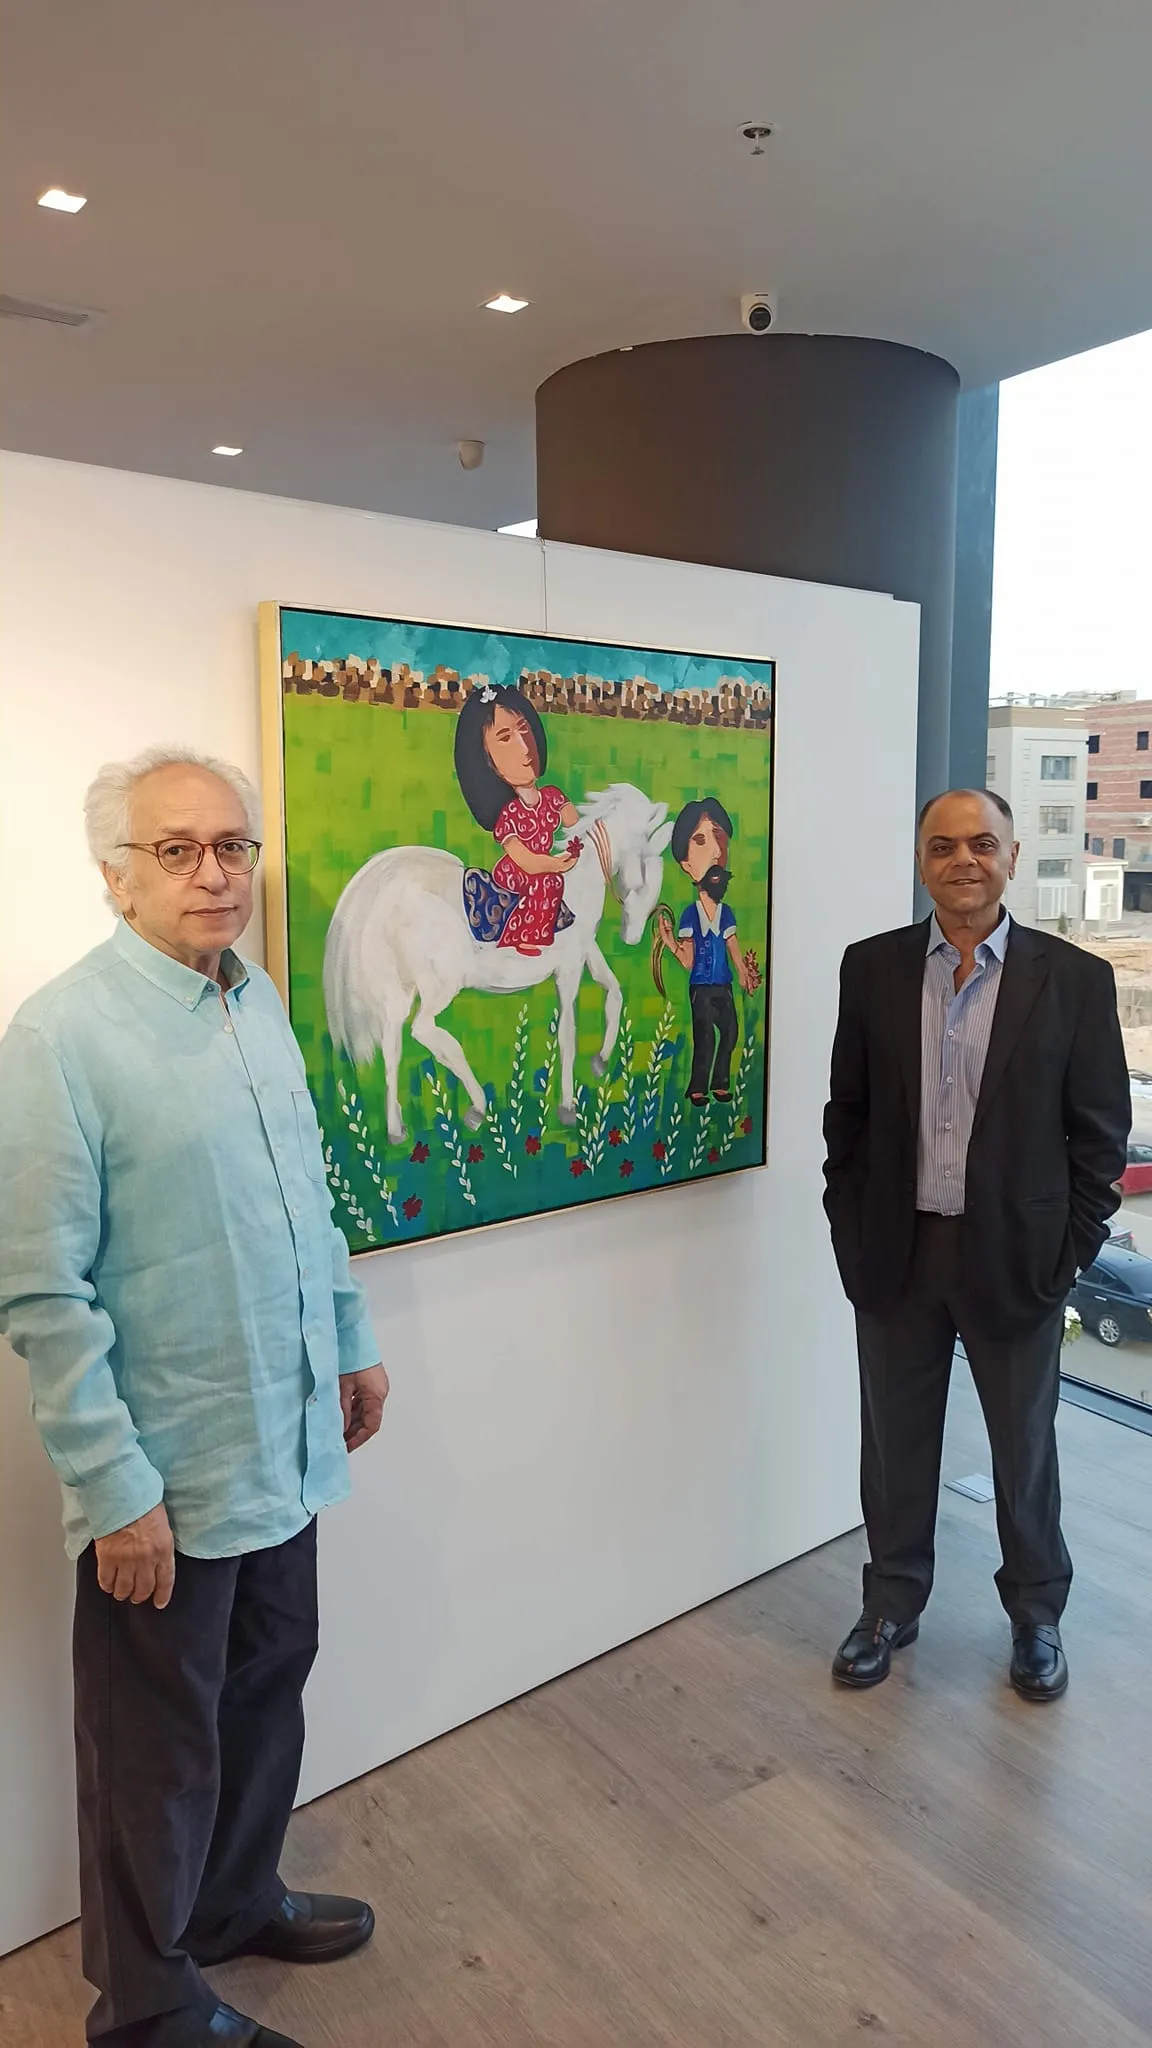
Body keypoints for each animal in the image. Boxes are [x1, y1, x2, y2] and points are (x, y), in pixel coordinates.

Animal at [323, 783, 674, 1145]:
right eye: (649, 863)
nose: (633, 936)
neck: (578, 885)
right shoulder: (568, 971)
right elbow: (567, 1034)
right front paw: (568, 1106)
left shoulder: (586, 953)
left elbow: (613, 992)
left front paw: (601, 1061)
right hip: (440, 986)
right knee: (425, 1031)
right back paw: (477, 1108)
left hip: (398, 992)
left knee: (392, 1048)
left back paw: (397, 1130)